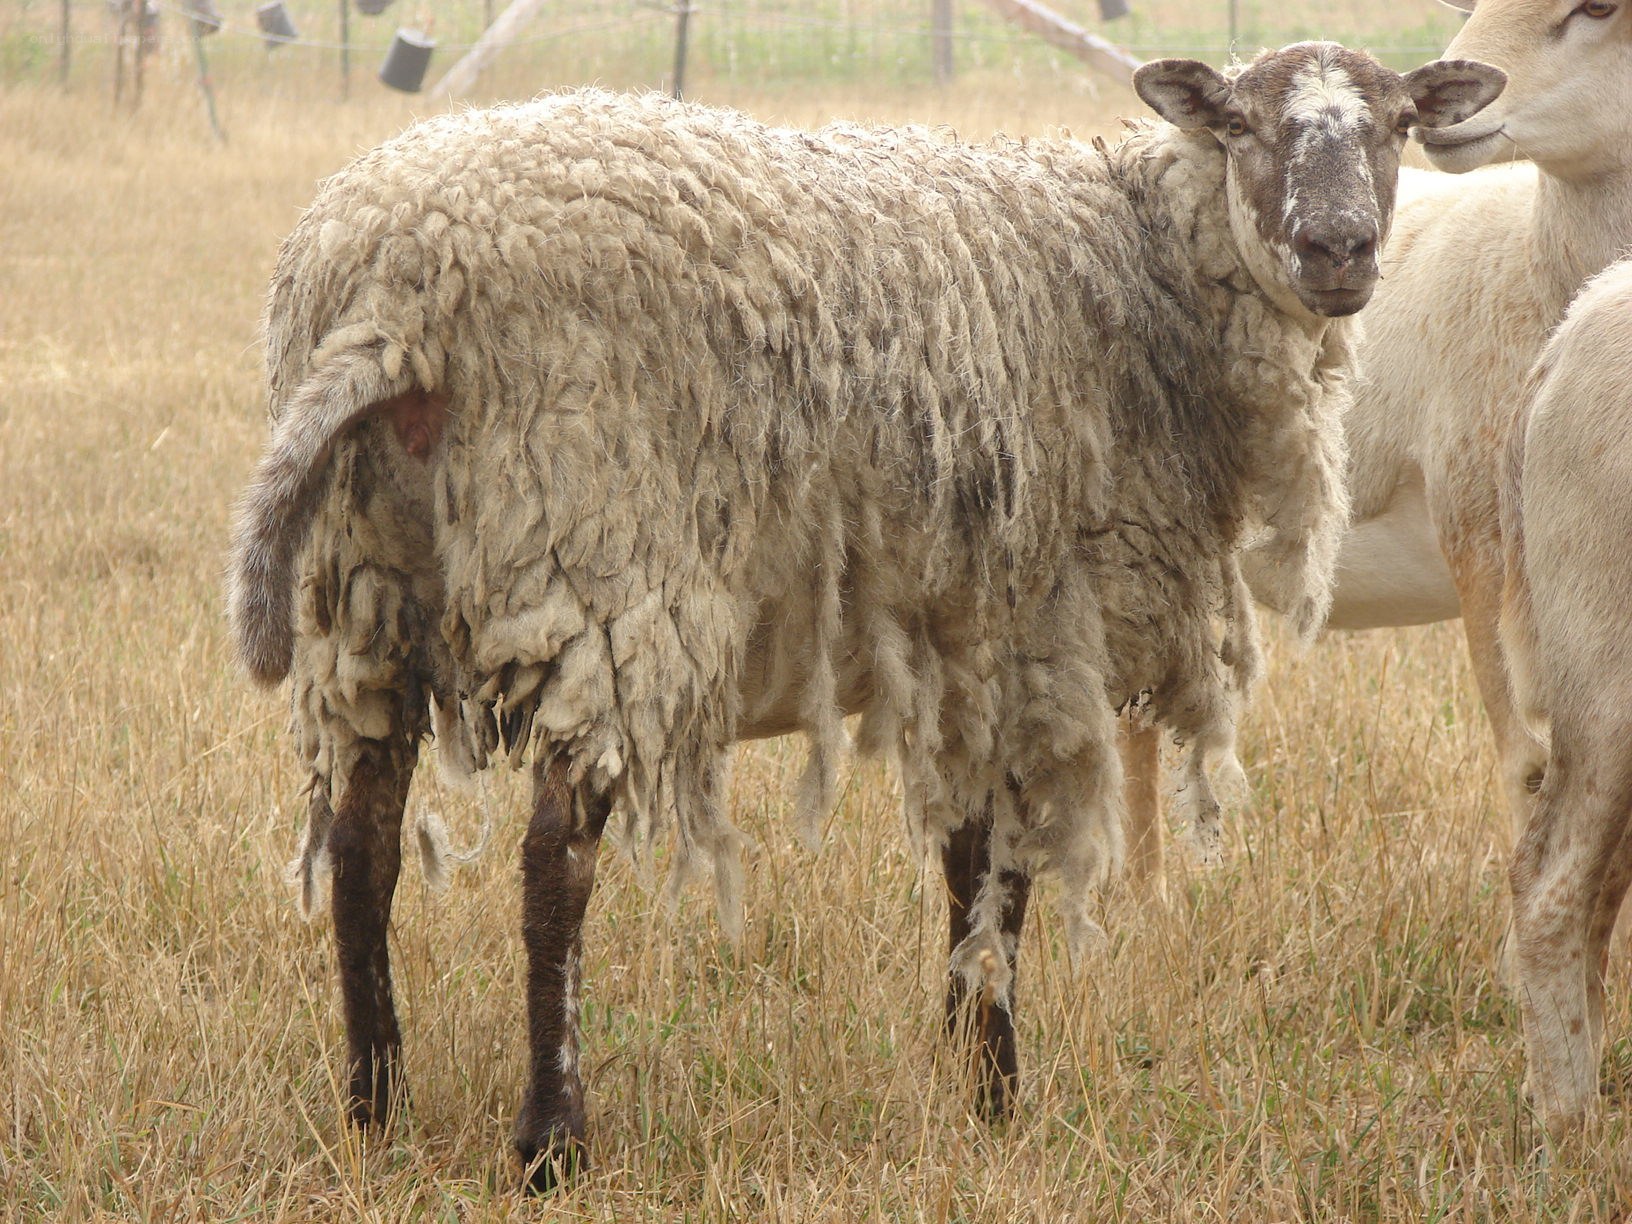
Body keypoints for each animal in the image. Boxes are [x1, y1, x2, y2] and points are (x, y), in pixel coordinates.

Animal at [226, 47, 1504, 1190]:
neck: (1136, 275)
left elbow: (965, 860)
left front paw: (957, 1063)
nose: (1339, 250)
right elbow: (1005, 876)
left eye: (1397, 124)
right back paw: (551, 1141)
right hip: (600, 562)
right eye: (1240, 125)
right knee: (554, 863)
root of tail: (397, 288)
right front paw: (999, 1091)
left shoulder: (962, 635)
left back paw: (374, 1109)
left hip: (364, 597)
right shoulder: (1038, 630)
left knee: (362, 843)